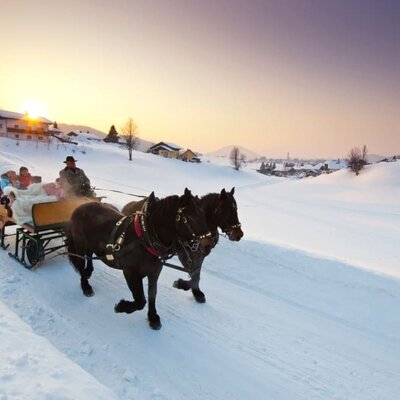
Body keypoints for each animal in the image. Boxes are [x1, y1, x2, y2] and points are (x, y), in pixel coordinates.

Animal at [66, 189, 212, 330]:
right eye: (191, 217)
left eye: (203, 214)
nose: (206, 244)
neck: (146, 238)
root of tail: (80, 207)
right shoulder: (131, 273)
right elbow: (140, 301)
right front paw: (121, 307)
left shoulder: (154, 273)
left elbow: (152, 294)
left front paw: (153, 317)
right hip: (80, 244)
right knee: (80, 262)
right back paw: (86, 286)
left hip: (91, 244)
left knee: (89, 255)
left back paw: (88, 271)